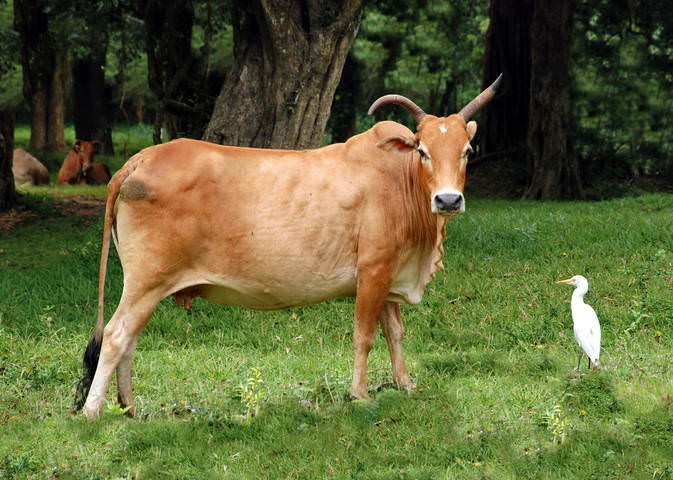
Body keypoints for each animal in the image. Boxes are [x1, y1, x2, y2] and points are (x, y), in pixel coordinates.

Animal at [74, 75, 502, 418]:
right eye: (422, 150)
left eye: (467, 152)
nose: (448, 200)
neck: (400, 181)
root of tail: (142, 158)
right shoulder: (373, 273)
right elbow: (364, 336)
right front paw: (359, 395)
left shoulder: (389, 276)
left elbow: (395, 333)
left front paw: (405, 385)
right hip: (146, 281)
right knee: (116, 336)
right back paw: (95, 411)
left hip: (147, 287)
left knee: (130, 339)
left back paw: (129, 408)